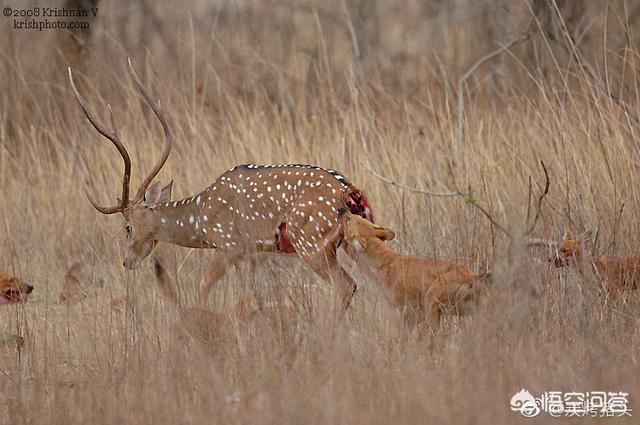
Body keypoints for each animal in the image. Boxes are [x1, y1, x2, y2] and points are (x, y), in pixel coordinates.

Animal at [67, 58, 372, 312]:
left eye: (127, 227)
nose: (126, 261)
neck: (201, 217)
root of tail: (350, 191)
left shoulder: (228, 245)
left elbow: (204, 290)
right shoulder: (249, 255)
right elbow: (250, 297)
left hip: (310, 242)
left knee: (346, 286)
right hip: (352, 241)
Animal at [340, 211, 490, 328]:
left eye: (348, 222)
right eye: (359, 217)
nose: (342, 209)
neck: (384, 260)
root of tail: (470, 277)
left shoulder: (405, 313)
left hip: (432, 305)